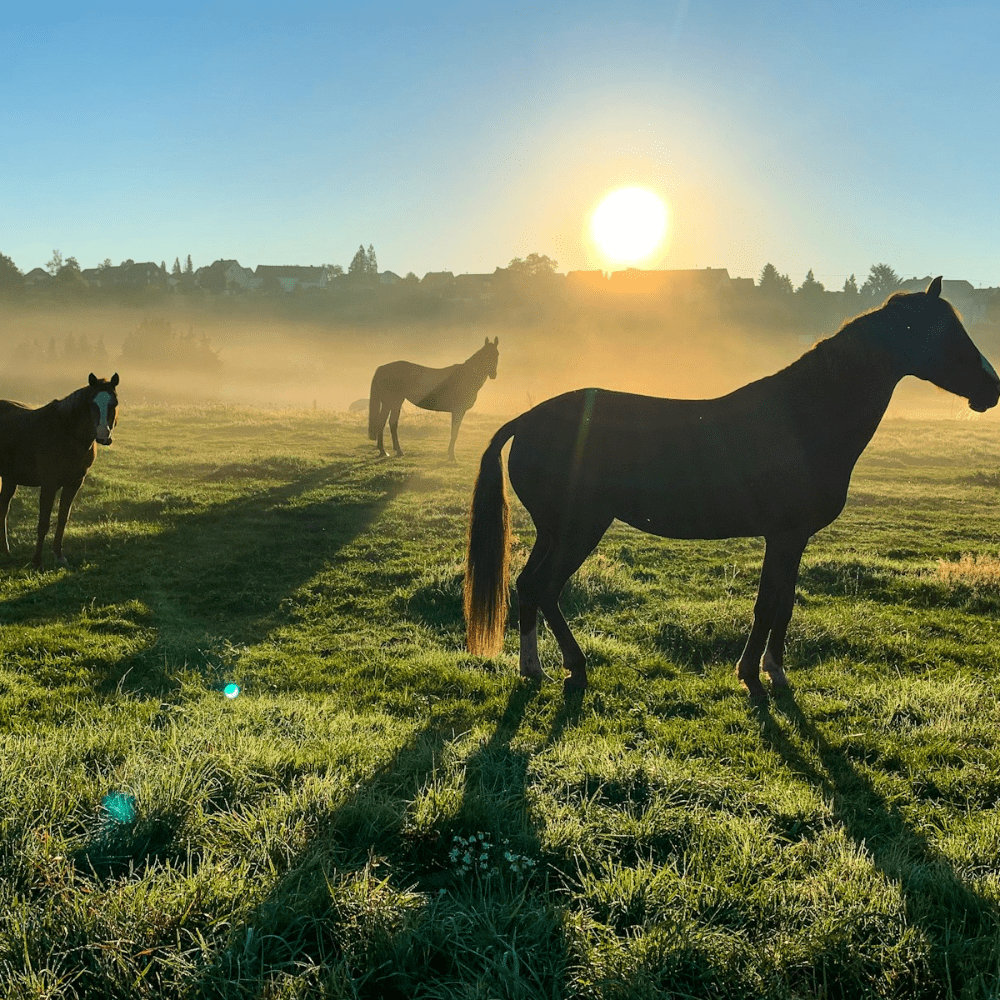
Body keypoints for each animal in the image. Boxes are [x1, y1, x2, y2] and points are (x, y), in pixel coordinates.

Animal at [0, 372, 120, 568]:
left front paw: (59, 555)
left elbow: (63, 518)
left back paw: (5, 550)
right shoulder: (49, 485)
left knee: (3, 508)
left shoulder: (74, 483)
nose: (103, 435)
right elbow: (43, 523)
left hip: (10, 478)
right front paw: (37, 561)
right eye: (92, 404)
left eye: (114, 403)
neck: (67, 434)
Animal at [368, 336, 500, 460]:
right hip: (390, 402)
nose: (493, 375)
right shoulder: (458, 411)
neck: (465, 376)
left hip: (396, 401)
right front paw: (452, 456)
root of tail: (382, 368)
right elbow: (454, 432)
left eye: (497, 354)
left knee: (391, 423)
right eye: (486, 355)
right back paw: (386, 451)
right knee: (384, 423)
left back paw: (394, 451)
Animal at [466, 280, 1000, 704]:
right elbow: (768, 605)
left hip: (557, 531)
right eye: (941, 332)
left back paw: (533, 668)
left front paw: (774, 671)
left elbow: (783, 603)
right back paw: (572, 667)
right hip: (579, 528)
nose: (991, 388)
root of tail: (526, 420)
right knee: (544, 587)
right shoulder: (784, 535)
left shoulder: (792, 539)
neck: (803, 416)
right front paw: (755, 676)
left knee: (529, 587)